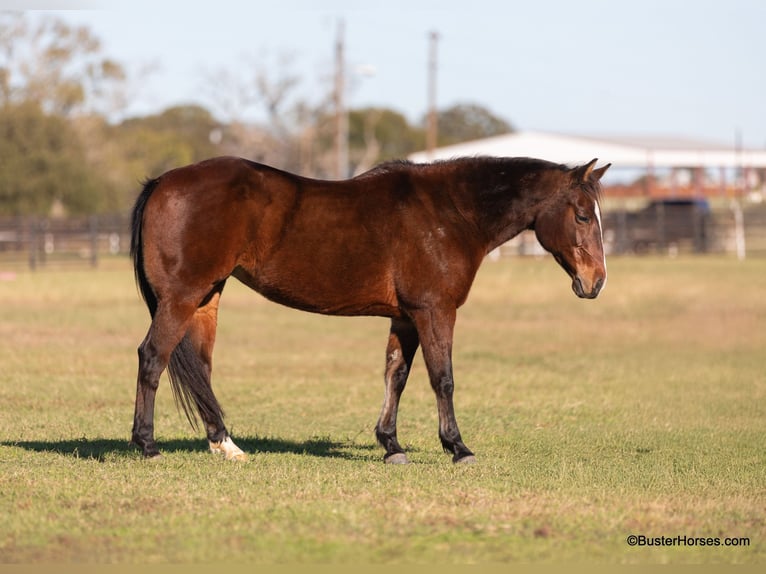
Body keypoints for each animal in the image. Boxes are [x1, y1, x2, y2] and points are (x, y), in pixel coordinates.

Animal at [130, 155, 609, 464]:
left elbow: (396, 375)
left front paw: (391, 445)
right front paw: (457, 448)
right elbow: (443, 379)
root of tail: (162, 182)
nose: (596, 282)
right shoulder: (434, 311)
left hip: (206, 298)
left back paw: (224, 445)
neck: (449, 214)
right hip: (181, 297)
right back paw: (147, 445)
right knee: (152, 357)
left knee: (200, 368)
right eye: (583, 216)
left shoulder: (406, 316)